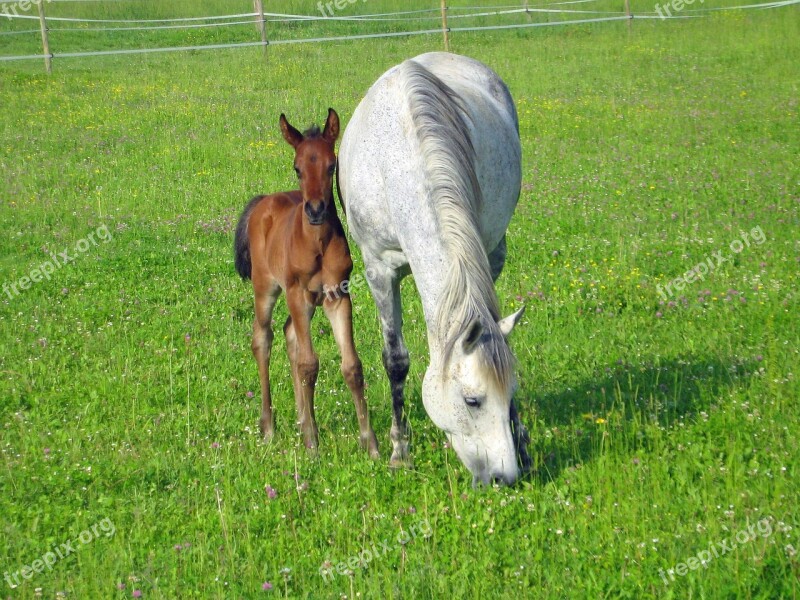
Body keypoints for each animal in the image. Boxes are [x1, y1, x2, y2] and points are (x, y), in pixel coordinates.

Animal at [233, 109, 380, 454]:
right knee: (263, 339)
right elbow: (309, 364)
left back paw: (300, 420)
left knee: (290, 335)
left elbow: (351, 366)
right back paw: (269, 428)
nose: (315, 210)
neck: (318, 243)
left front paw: (370, 443)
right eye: (297, 168)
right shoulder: (297, 293)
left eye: (331, 166)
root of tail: (263, 202)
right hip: (267, 288)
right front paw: (313, 443)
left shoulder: (337, 295)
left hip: (308, 302)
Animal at [340, 49, 532, 486]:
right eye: (472, 400)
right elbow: (395, 360)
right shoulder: (378, 270)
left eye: (512, 393)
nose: (505, 477)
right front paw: (399, 451)